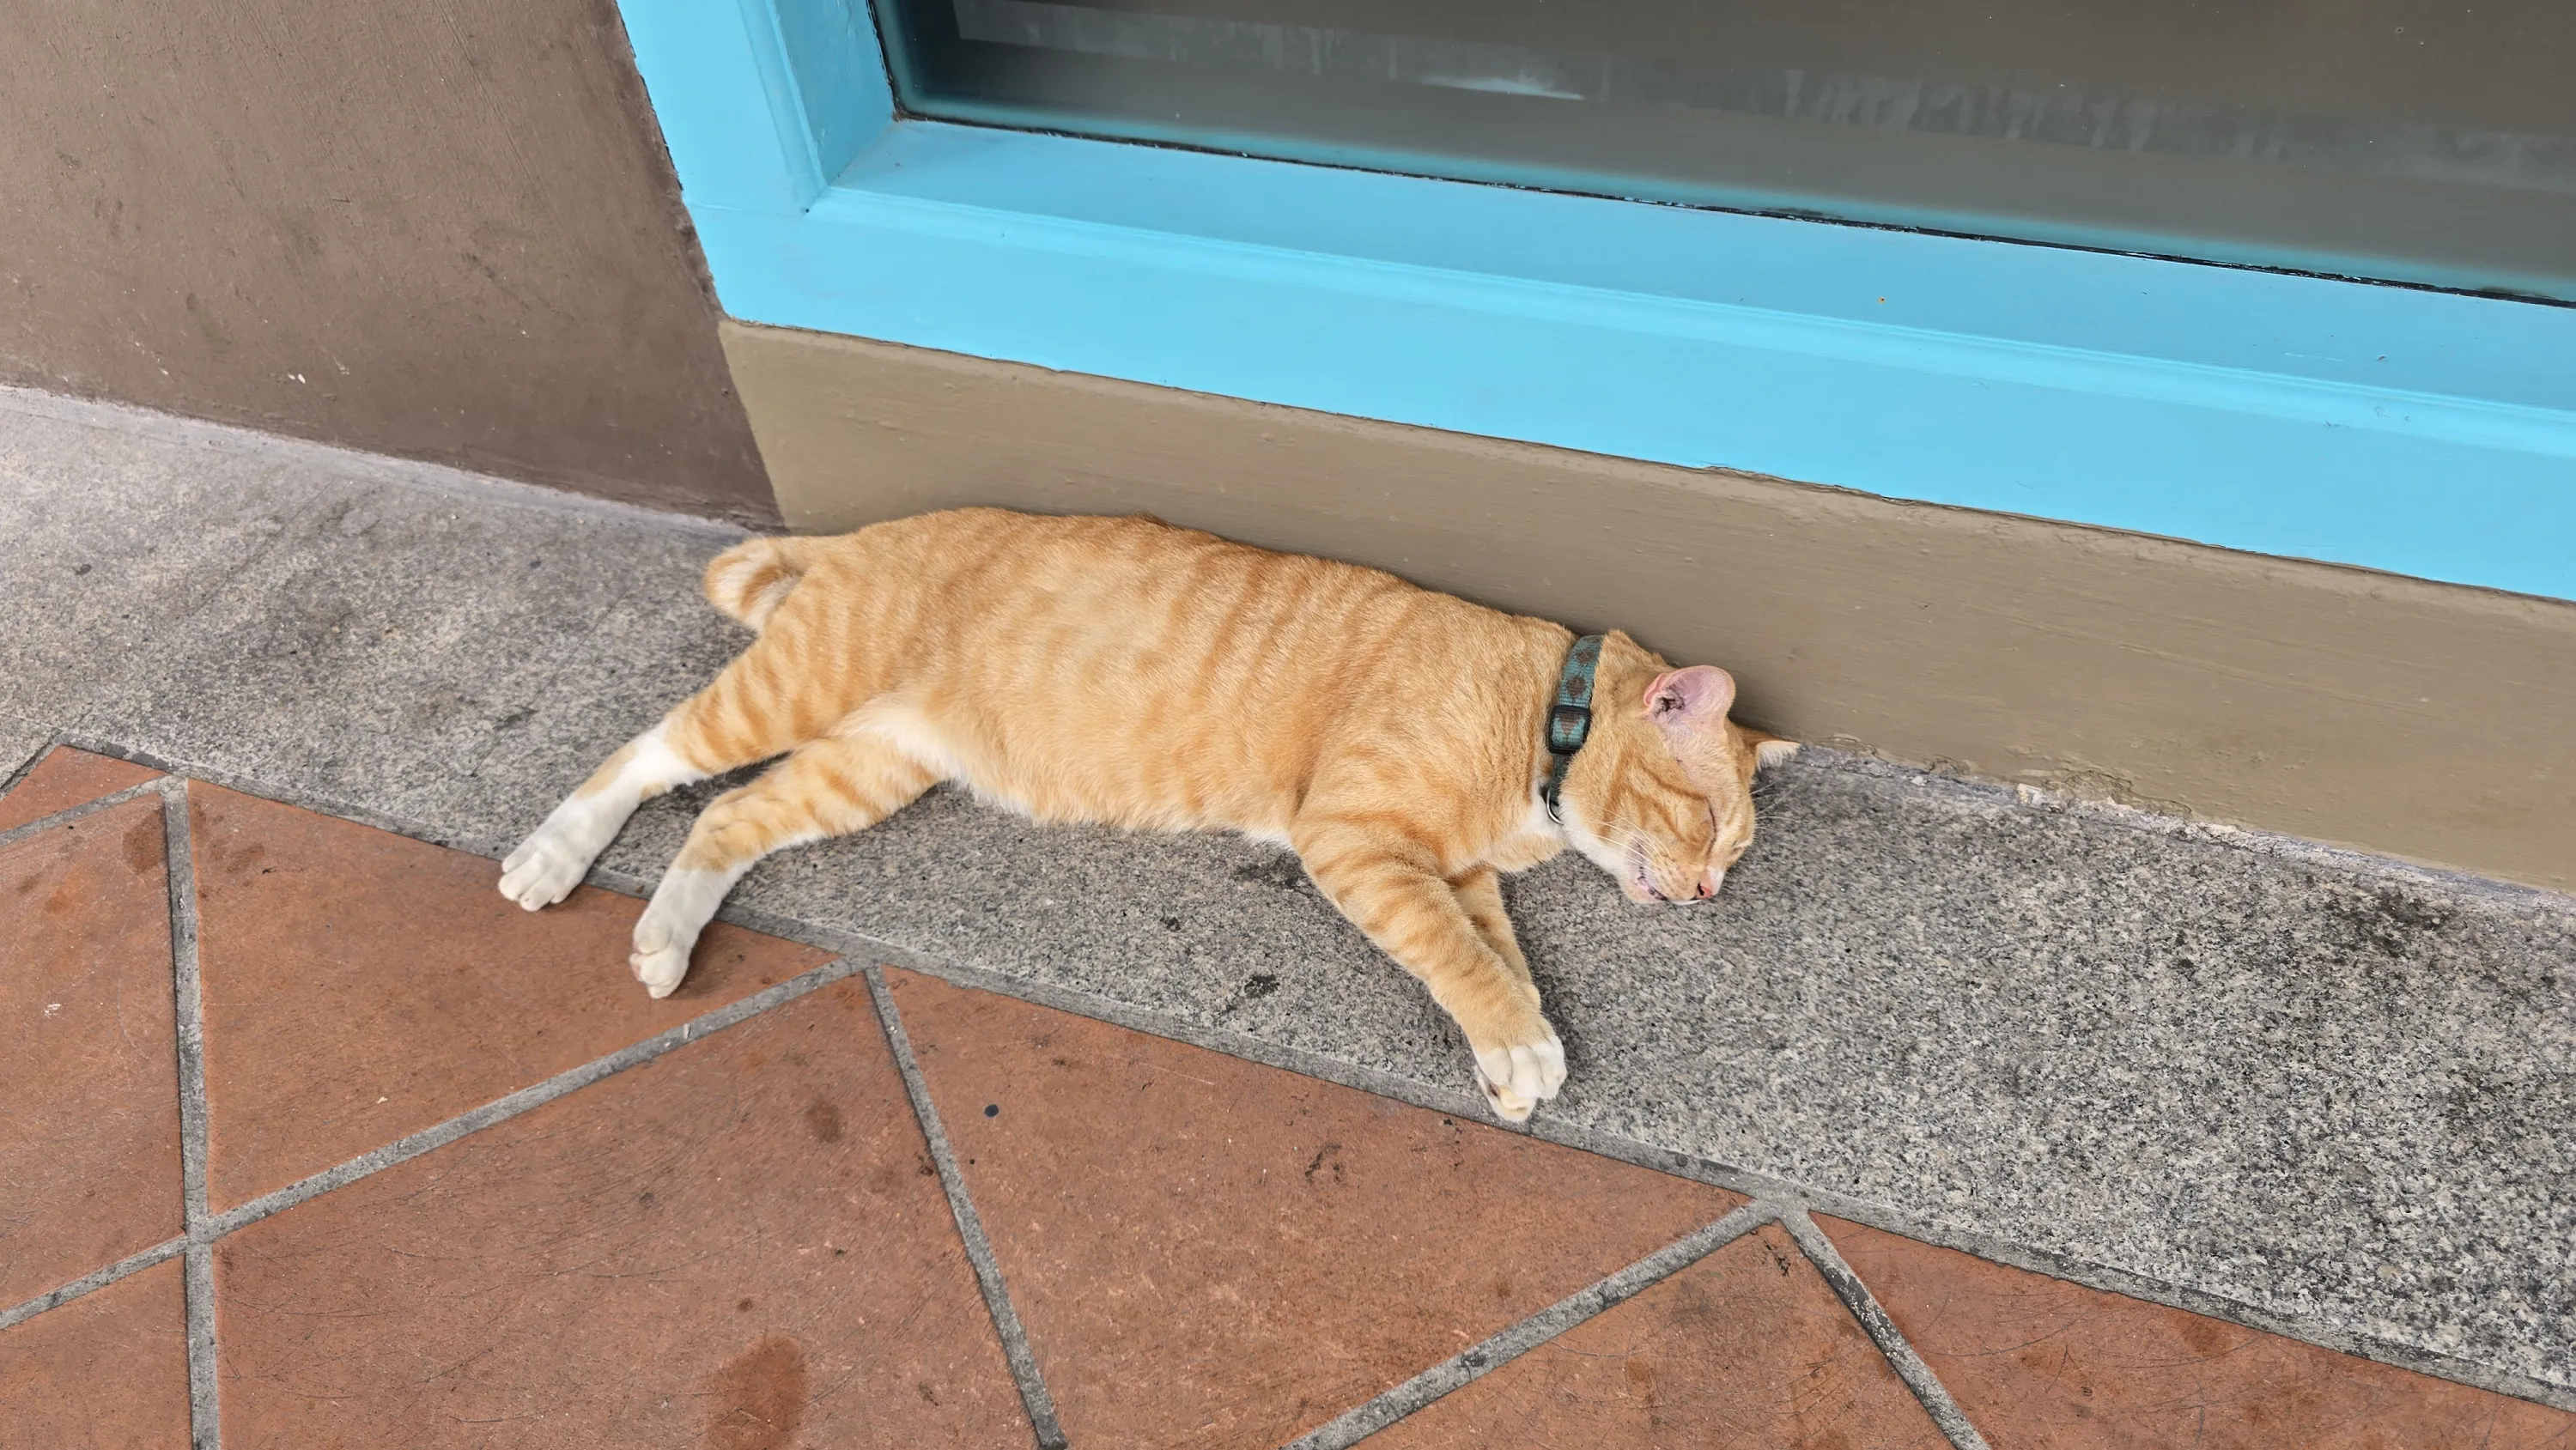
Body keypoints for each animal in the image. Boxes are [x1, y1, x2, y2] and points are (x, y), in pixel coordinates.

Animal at [499, 508, 1794, 1121]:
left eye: (1732, 852)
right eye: (1707, 825)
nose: (1711, 893)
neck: (1539, 717)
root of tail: (871, 530)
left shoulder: (1452, 869)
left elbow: (1499, 957)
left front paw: (1515, 1046)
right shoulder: (1360, 844)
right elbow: (1460, 957)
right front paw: (1517, 1040)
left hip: (864, 768)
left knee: (723, 822)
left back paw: (666, 935)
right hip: (789, 692)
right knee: (648, 756)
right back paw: (551, 855)